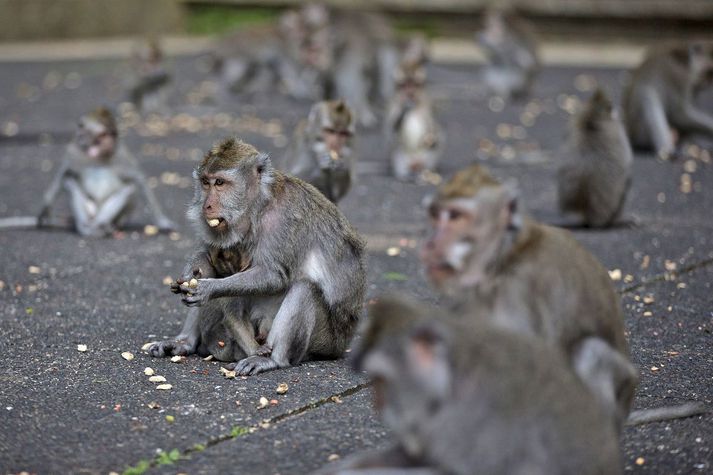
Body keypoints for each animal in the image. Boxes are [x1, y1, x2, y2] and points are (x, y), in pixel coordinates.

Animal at [37, 108, 175, 238]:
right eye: (102, 135)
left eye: (112, 134)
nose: (111, 142)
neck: (98, 157)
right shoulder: (72, 152)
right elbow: (62, 174)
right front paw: (44, 213)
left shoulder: (121, 154)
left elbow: (138, 178)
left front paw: (162, 221)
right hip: (91, 211)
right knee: (69, 182)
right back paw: (85, 226)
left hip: (118, 218)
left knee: (130, 189)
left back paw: (102, 225)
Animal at [147, 138, 364, 376]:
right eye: (205, 183)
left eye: (220, 183)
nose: (207, 206)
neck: (259, 205)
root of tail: (343, 344)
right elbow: (208, 255)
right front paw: (191, 273)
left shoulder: (282, 220)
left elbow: (273, 275)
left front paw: (209, 288)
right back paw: (184, 342)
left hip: (325, 341)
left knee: (305, 289)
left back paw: (273, 360)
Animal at [556, 88, 636, 228]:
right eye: (609, 106)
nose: (615, 110)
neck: (591, 120)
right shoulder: (618, 132)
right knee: (627, 182)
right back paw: (617, 220)